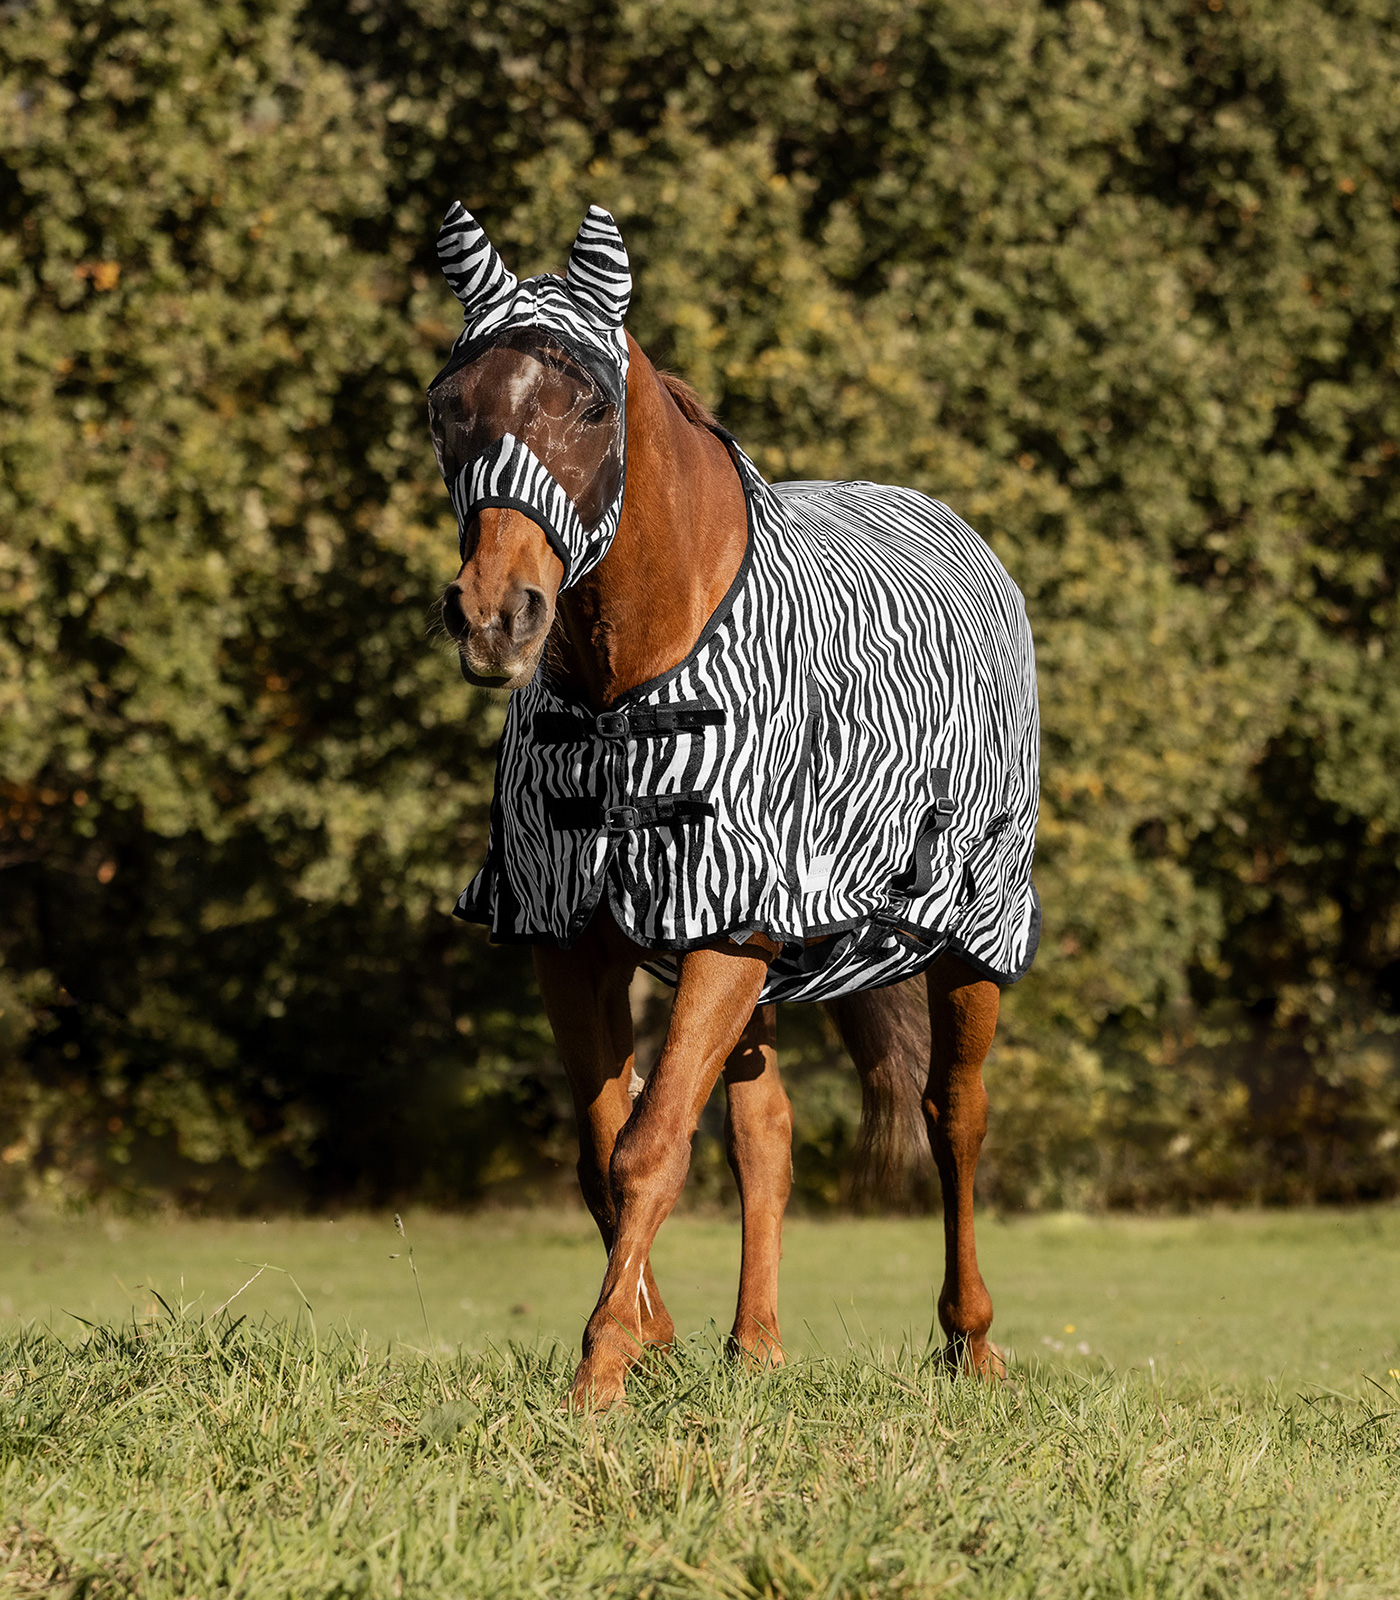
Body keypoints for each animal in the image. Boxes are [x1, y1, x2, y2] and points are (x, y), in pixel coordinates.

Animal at [425, 203, 1043, 1414]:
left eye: (590, 405)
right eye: (445, 405)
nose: (494, 615)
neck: (627, 690)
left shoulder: (727, 923)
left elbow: (650, 1146)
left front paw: (602, 1365)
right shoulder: (577, 933)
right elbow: (607, 1144)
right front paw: (653, 1338)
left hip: (969, 929)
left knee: (954, 1116)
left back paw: (971, 1341)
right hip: (763, 954)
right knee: (767, 1126)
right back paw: (753, 1347)